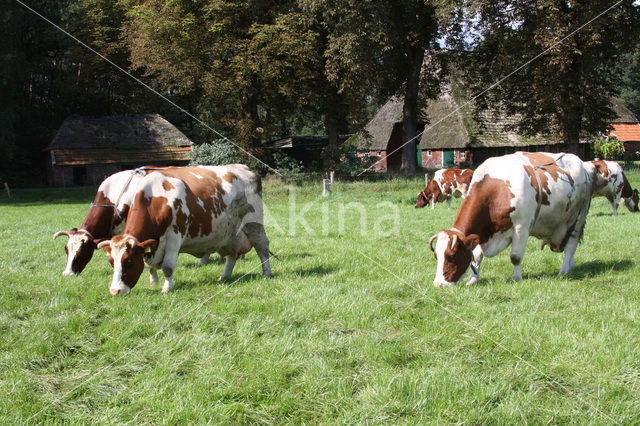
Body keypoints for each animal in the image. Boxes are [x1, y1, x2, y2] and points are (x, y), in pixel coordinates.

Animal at [96, 165, 272, 294]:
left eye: (129, 261)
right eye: (111, 262)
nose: (115, 291)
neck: (156, 199)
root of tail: (244, 168)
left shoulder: (174, 237)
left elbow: (168, 267)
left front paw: (166, 288)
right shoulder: (151, 247)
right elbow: (148, 266)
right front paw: (154, 283)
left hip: (254, 224)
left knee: (262, 247)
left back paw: (266, 273)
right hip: (228, 233)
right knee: (231, 256)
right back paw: (224, 277)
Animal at [430, 151, 596, 288]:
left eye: (451, 256)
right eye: (436, 255)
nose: (438, 284)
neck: (496, 188)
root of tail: (582, 164)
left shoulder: (521, 226)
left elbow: (515, 256)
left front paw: (517, 279)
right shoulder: (482, 234)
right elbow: (476, 257)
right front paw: (473, 279)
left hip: (579, 217)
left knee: (571, 245)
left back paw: (564, 271)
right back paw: (571, 266)